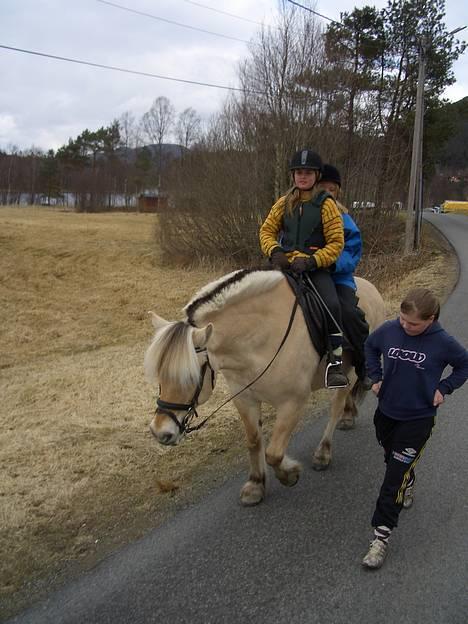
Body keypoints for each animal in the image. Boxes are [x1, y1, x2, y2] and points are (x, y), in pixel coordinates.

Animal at [144, 268, 386, 508]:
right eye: (159, 373)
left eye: (190, 375)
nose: (160, 432)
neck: (260, 336)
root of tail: (370, 286)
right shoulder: (244, 398)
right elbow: (253, 440)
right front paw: (255, 485)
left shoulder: (292, 403)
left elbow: (274, 453)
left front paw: (289, 474)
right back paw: (348, 415)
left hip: (348, 372)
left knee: (336, 406)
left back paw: (323, 452)